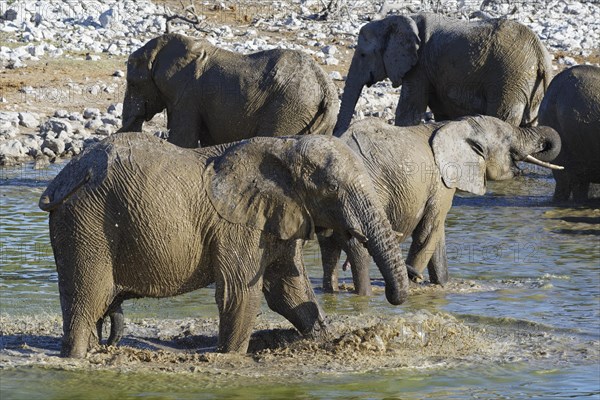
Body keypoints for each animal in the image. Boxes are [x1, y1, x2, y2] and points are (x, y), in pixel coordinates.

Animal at [39, 133, 410, 358]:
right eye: (332, 188)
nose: (394, 298)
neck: (285, 148)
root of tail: (63, 180)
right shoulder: (237, 226)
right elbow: (241, 294)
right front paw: (230, 358)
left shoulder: (277, 217)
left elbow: (290, 292)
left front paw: (322, 340)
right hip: (86, 224)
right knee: (88, 300)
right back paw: (74, 359)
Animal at [324, 115, 564, 294]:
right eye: (509, 142)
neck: (454, 124)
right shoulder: (440, 183)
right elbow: (429, 229)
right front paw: (415, 282)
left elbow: (437, 235)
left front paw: (441, 284)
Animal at [332, 13, 552, 134]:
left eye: (363, 54)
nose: (337, 135)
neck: (396, 20)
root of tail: (540, 52)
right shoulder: (432, 69)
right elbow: (441, 113)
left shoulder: (419, 66)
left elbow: (408, 113)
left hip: (509, 76)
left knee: (502, 118)